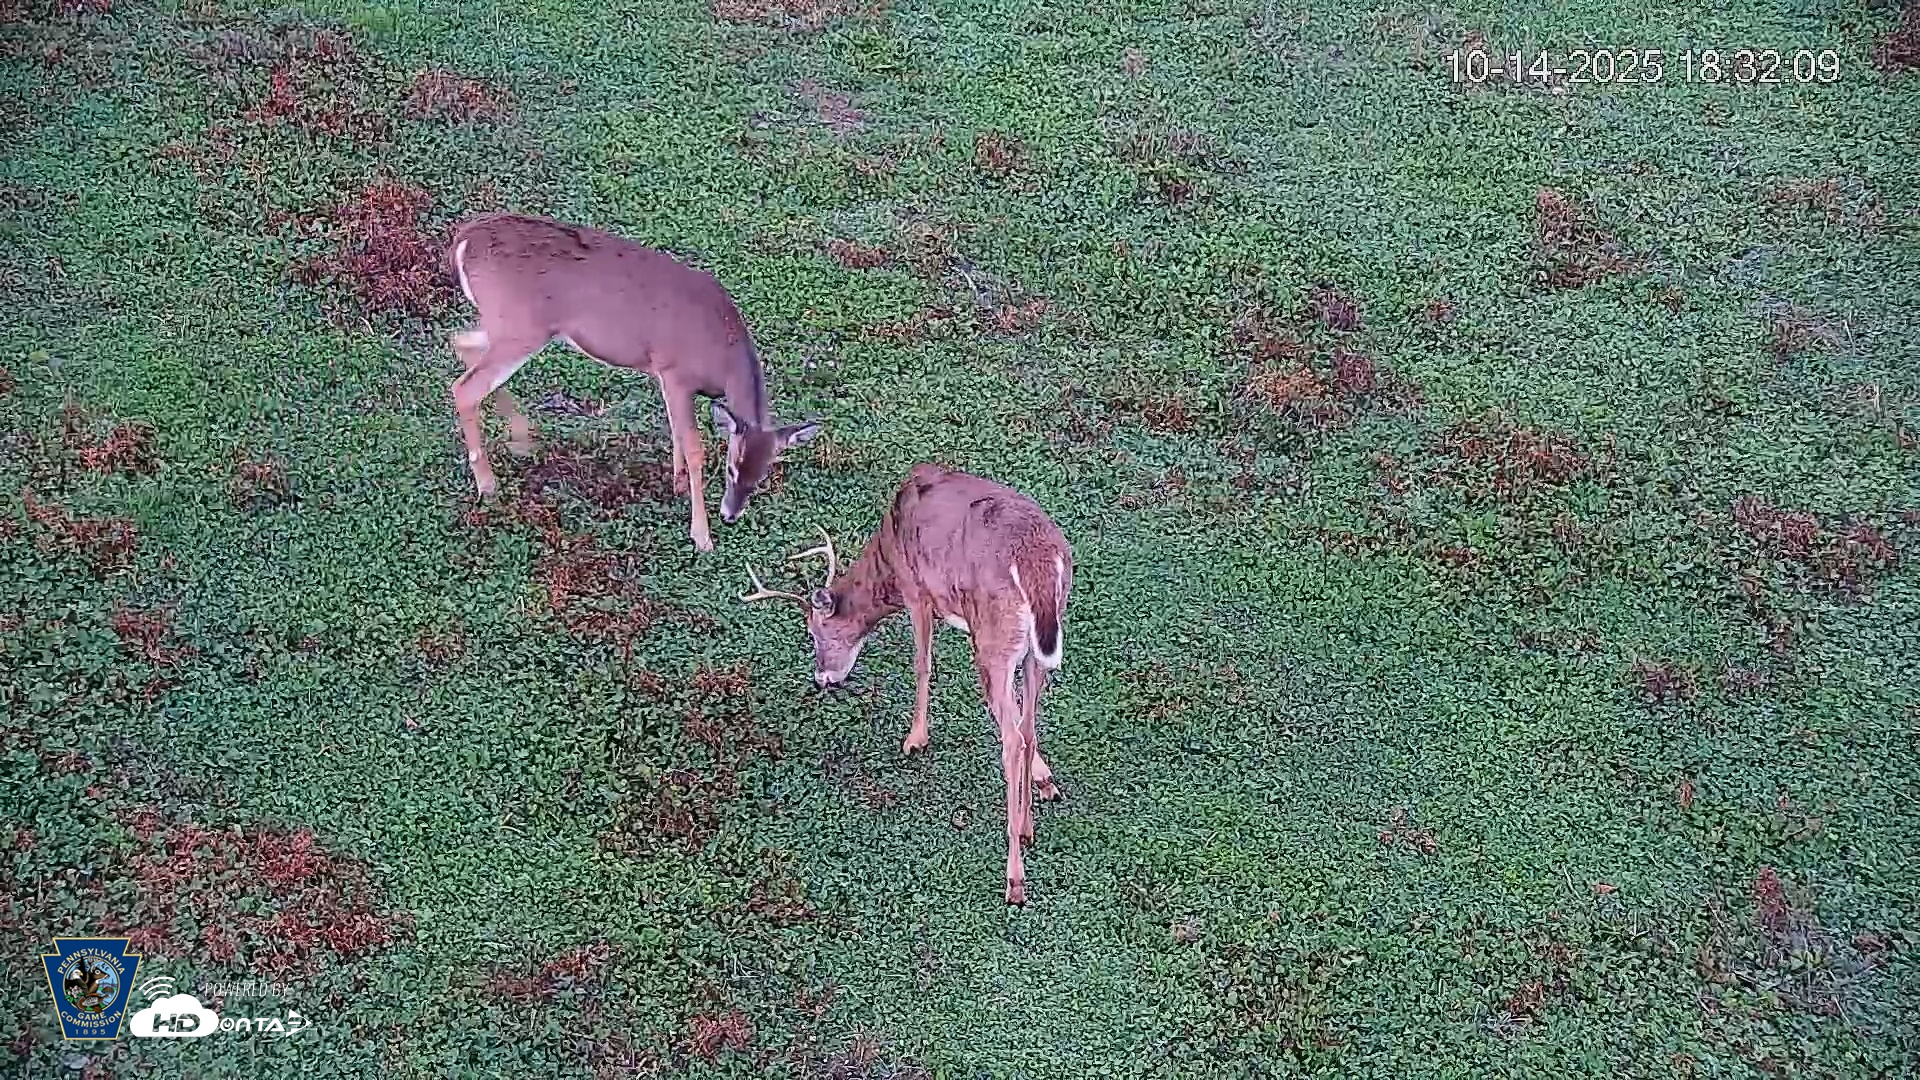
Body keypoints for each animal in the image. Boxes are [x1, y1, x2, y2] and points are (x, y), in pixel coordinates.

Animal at [444, 212, 823, 552]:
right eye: (730, 469)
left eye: (761, 477)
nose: (730, 515)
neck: (722, 352)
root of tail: (464, 241)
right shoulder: (675, 371)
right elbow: (694, 447)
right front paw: (702, 537)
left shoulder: (665, 376)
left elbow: (676, 431)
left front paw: (678, 483)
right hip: (522, 328)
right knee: (465, 388)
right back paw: (488, 485)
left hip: (505, 327)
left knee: (461, 343)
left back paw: (522, 438)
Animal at [739, 463, 1074, 905]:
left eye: (814, 633)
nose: (822, 678)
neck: (887, 549)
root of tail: (1040, 561)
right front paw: (1043, 780)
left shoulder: (916, 588)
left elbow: (922, 663)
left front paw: (915, 739)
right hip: (1039, 645)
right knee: (1029, 725)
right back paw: (1029, 827)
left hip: (993, 641)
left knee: (1012, 737)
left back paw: (1014, 878)